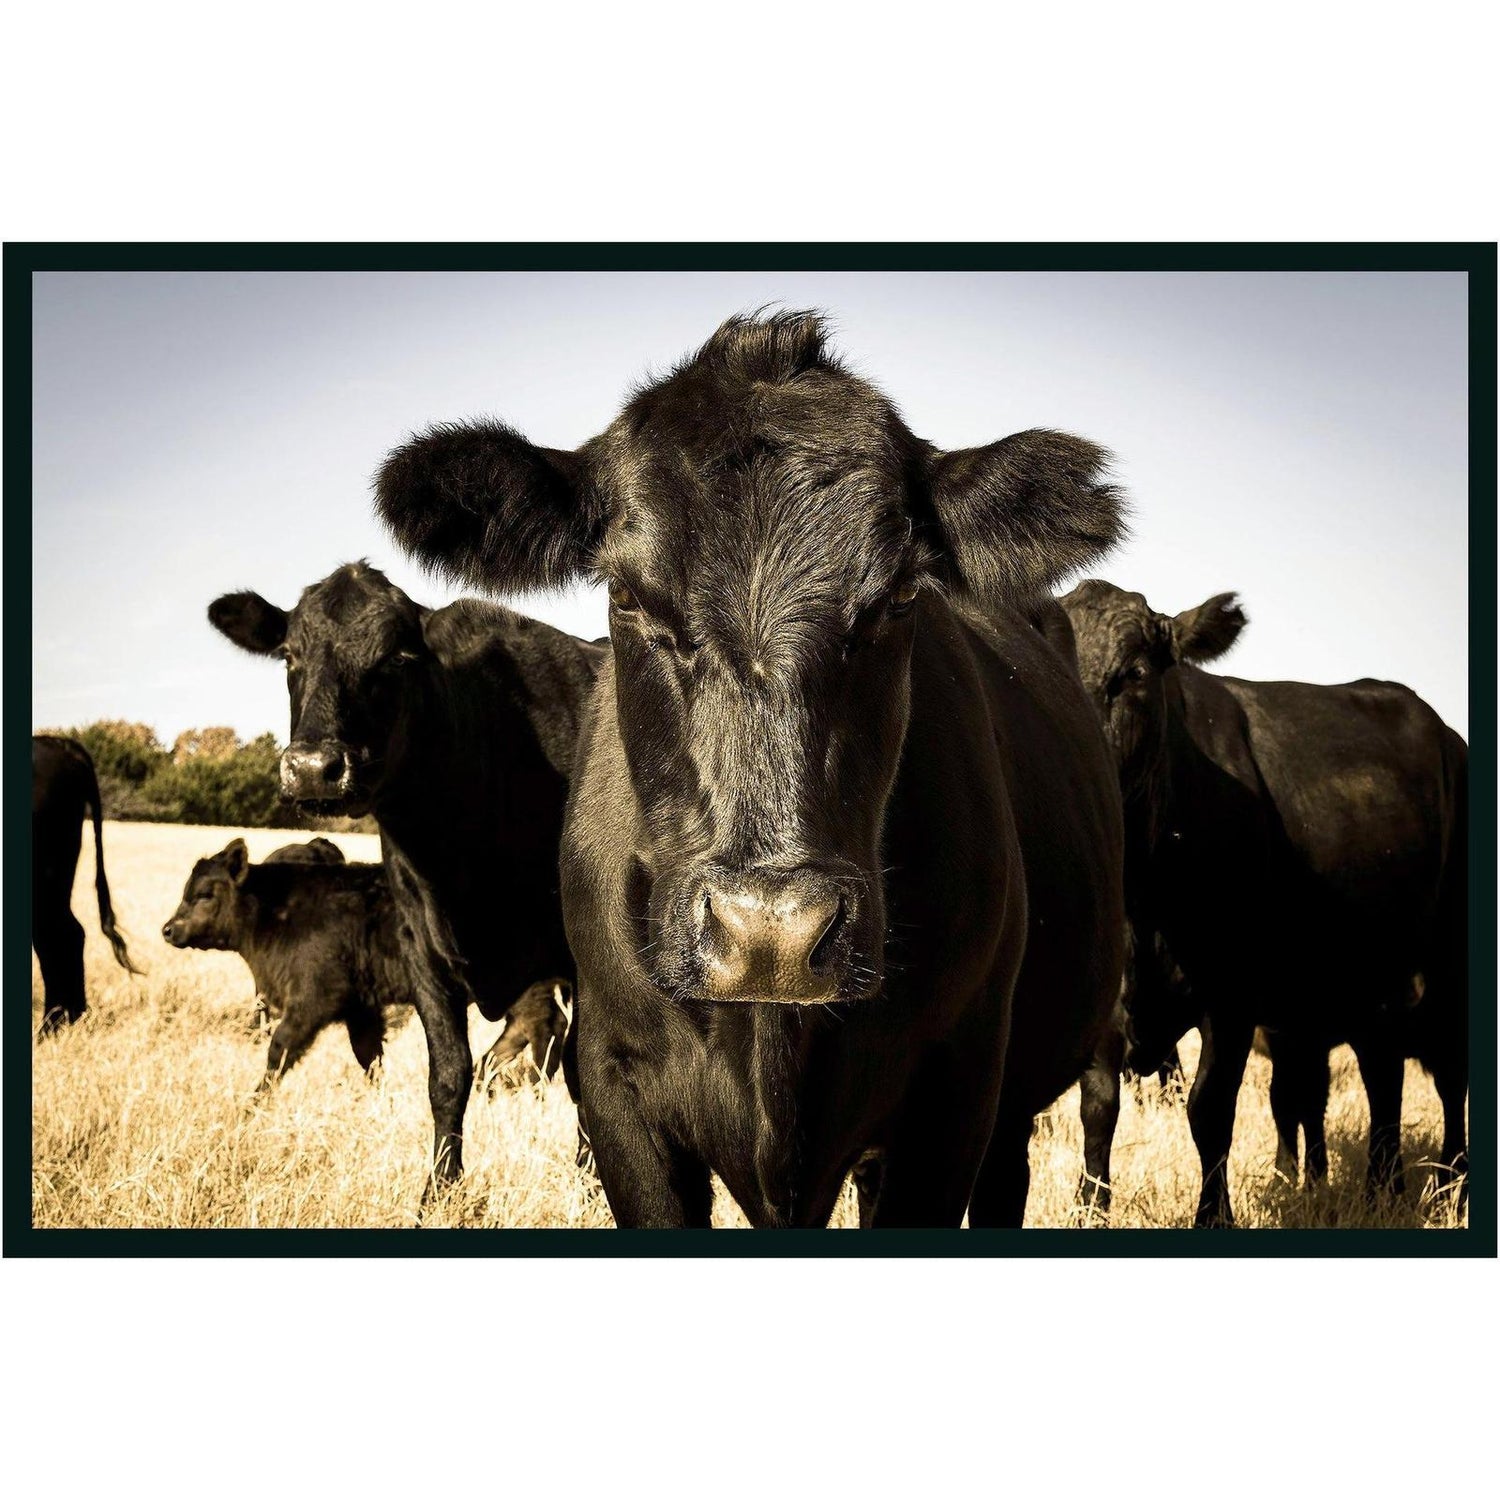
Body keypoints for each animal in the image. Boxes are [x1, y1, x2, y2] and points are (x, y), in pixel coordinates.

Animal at [207, 564, 603, 1197]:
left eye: (395, 657)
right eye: (289, 655)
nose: (313, 768)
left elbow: (584, 1075)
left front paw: (593, 1182)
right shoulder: (422, 951)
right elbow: (448, 1075)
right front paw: (439, 1192)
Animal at [1061, 579, 1468, 1225]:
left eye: (1134, 674)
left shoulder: (1232, 997)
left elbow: (1209, 1110)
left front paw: (1214, 1215)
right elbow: (1098, 1110)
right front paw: (1089, 1207)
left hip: (1449, 962)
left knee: (1450, 1074)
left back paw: (1452, 1187)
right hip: (1371, 980)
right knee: (1382, 1073)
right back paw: (1383, 1188)